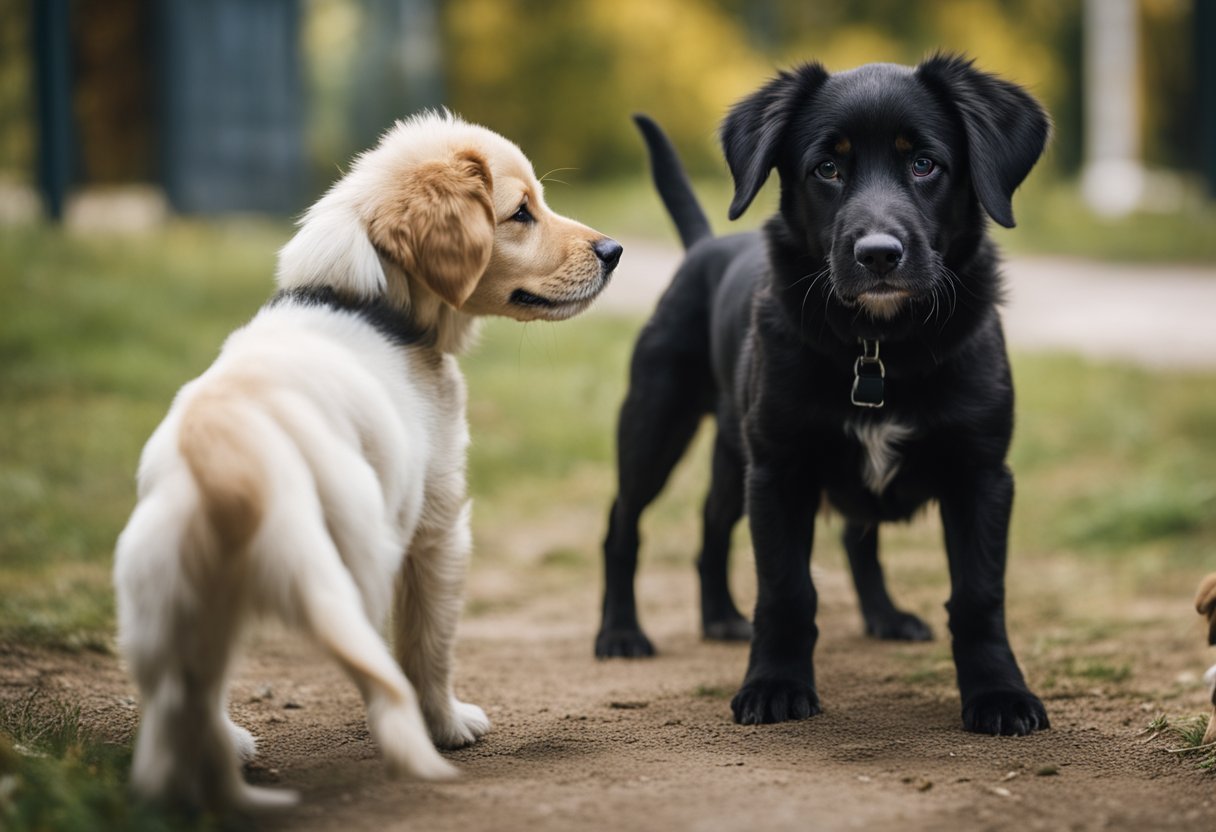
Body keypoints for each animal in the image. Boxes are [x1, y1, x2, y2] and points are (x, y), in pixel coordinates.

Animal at [114, 113, 622, 807]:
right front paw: (449, 724)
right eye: (521, 213)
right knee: (383, 676)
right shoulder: (439, 528)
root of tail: (226, 449)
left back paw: (218, 752)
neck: (364, 299)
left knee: (180, 699)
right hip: (354, 563)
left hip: (167, 604)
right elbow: (427, 644)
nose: (614, 251)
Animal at [593, 56, 1050, 734]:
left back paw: (770, 617)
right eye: (826, 169)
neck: (880, 346)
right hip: (656, 423)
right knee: (623, 524)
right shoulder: (781, 470)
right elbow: (786, 588)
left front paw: (999, 693)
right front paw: (775, 686)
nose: (878, 255)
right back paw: (621, 633)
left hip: (735, 453)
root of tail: (704, 244)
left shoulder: (982, 473)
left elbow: (979, 593)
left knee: (726, 525)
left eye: (925, 163)